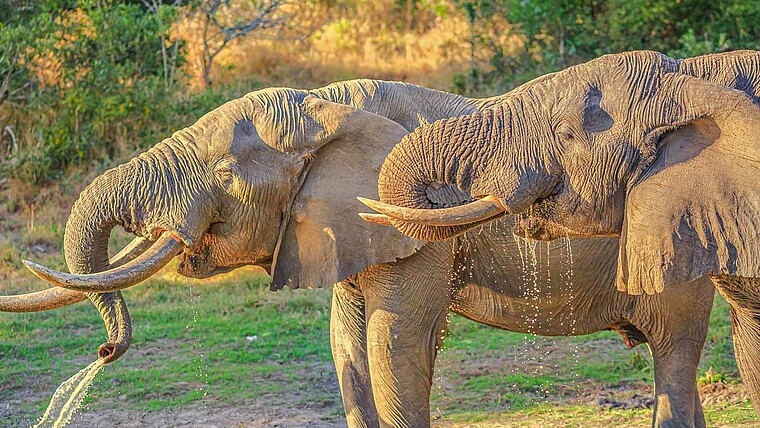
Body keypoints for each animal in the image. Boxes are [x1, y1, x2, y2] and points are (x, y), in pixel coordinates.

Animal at [2, 73, 724, 428]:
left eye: (227, 174)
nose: (104, 351)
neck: (327, 106)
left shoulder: (417, 224)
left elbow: (391, 343)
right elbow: (347, 345)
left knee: (674, 352)